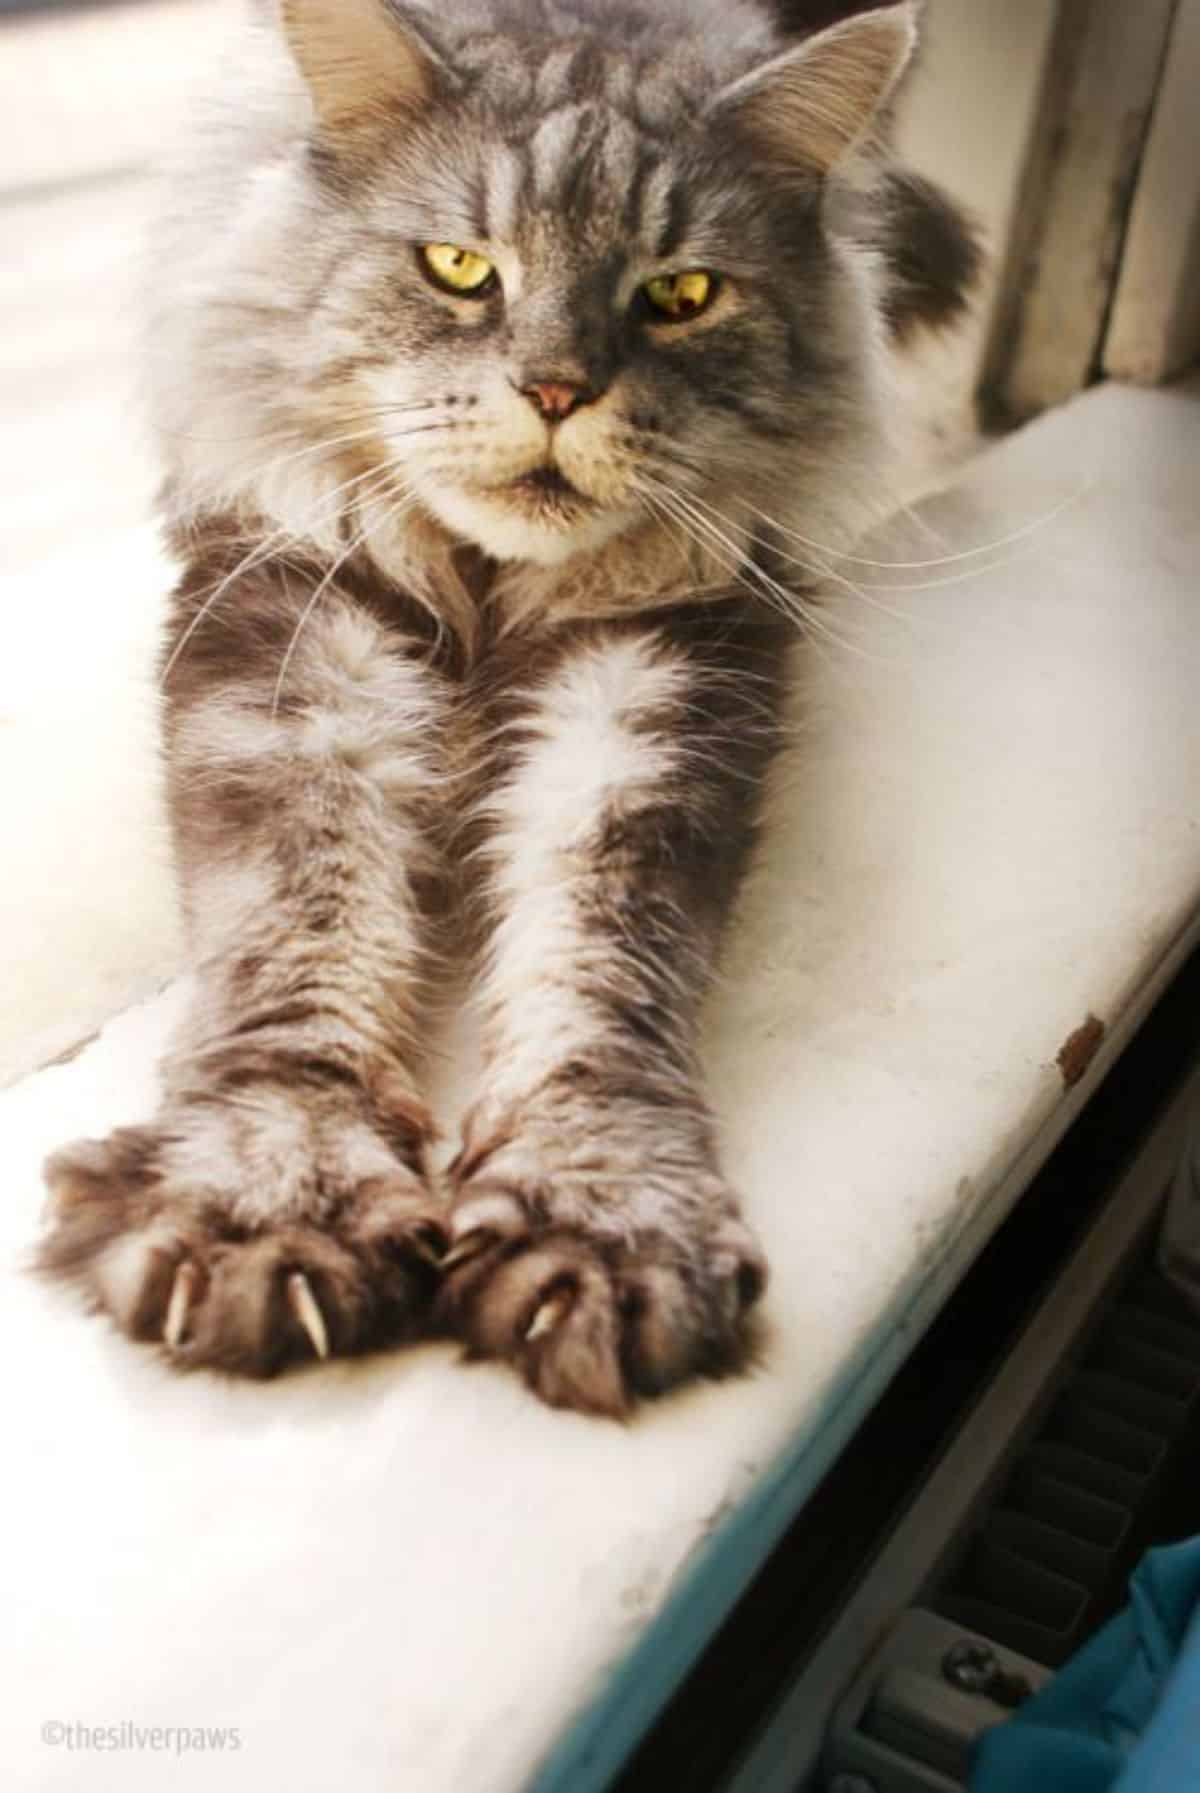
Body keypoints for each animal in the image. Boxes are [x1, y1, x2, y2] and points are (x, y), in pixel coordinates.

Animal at [37, 0, 975, 1420]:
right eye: (459, 267)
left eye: (681, 294)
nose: (555, 389)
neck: (488, 590)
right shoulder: (309, 656)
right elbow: (298, 946)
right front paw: (274, 1199)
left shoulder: (640, 699)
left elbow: (600, 978)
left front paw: (594, 1220)